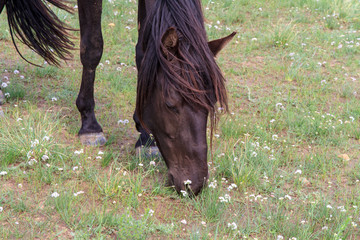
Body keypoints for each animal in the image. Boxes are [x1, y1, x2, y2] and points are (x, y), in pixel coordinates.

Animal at [1, 0, 235, 195]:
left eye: (212, 102)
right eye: (170, 104)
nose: (193, 184)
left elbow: (142, 54)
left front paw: (145, 137)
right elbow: (92, 48)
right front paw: (90, 125)